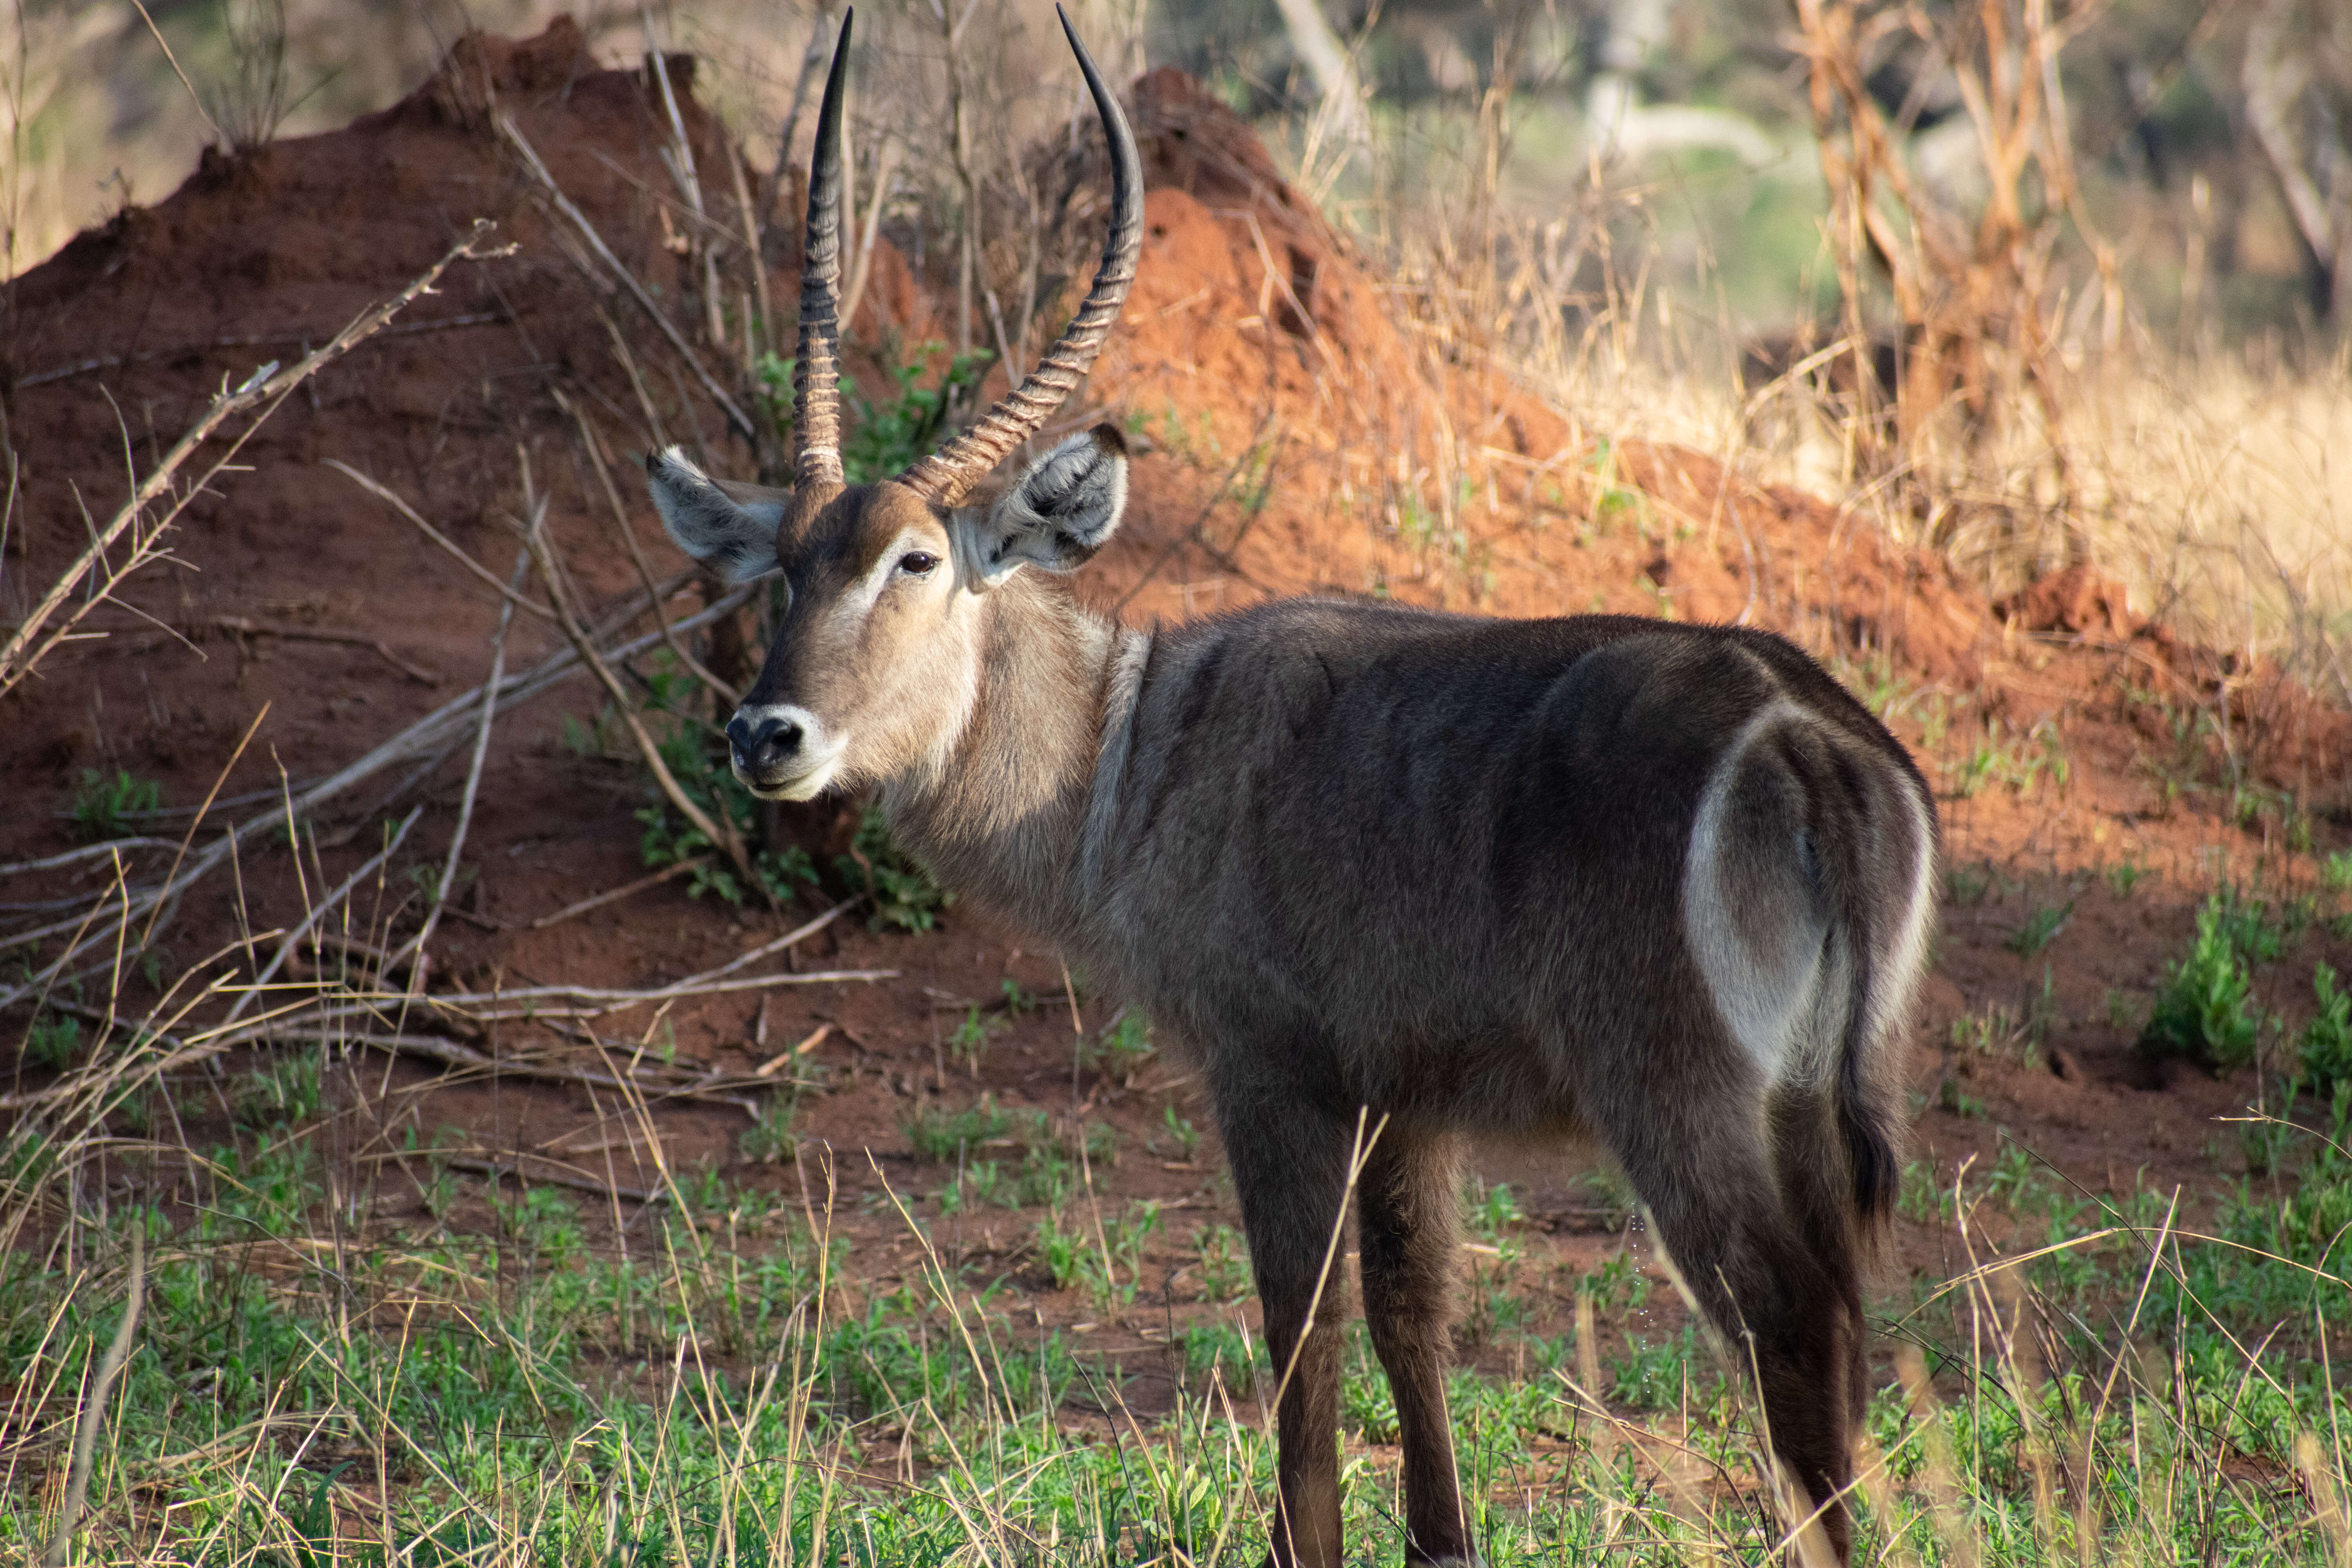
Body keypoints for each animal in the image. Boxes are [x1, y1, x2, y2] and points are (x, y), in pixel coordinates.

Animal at [654, 15, 1938, 1568]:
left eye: (913, 559)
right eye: (782, 562)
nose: (765, 733)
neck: (1131, 748)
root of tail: (1802, 732)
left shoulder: (1271, 1072)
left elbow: (1299, 1330)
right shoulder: (1403, 1093)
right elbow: (1409, 1312)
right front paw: (1442, 1541)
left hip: (1677, 1095)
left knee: (1783, 1322)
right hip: (1816, 1100)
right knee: (1842, 1325)